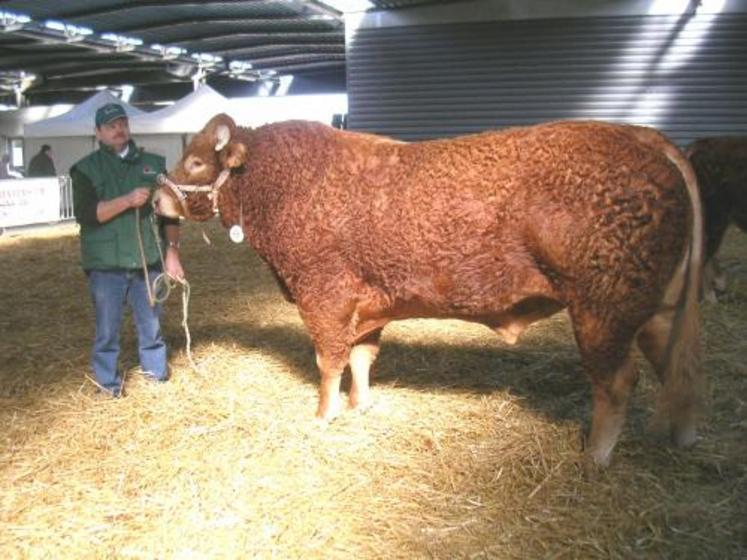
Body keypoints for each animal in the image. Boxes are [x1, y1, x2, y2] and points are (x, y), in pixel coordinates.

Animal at [155, 114, 704, 464]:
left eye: (198, 162)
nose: (158, 200)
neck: (281, 185)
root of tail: (643, 138)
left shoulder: (323, 295)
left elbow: (329, 362)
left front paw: (323, 415)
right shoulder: (367, 304)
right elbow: (362, 357)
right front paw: (359, 407)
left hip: (601, 310)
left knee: (618, 381)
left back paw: (594, 457)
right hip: (656, 310)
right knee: (679, 372)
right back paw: (679, 438)